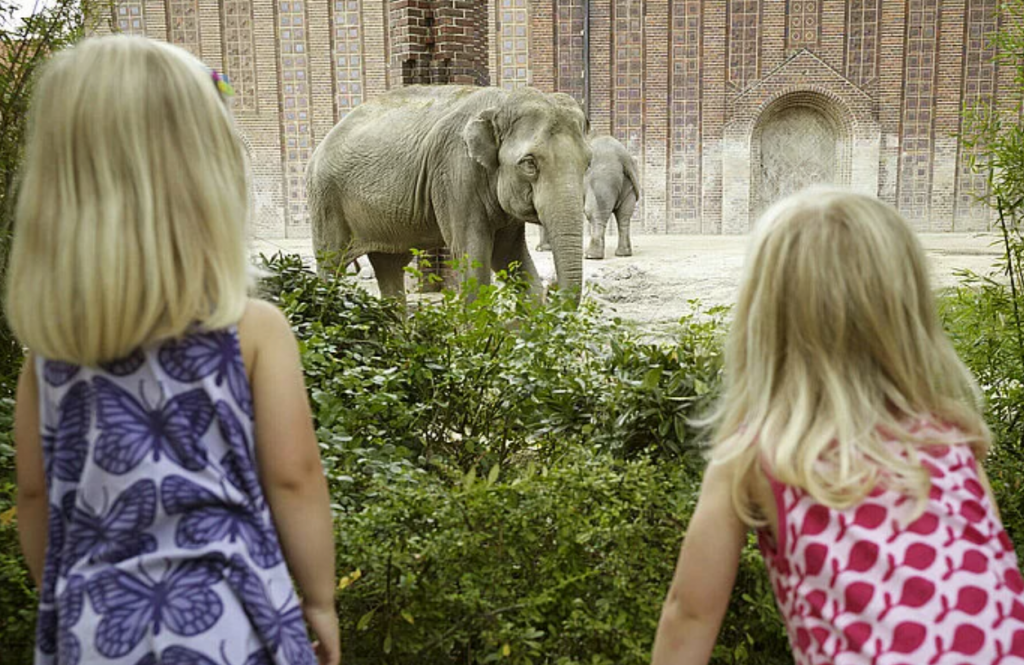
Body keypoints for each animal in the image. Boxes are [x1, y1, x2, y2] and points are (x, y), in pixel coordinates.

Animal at [305, 84, 593, 299]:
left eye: (588, 163)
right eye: (529, 164)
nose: (552, 286)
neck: (502, 101)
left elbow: (509, 256)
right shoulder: (456, 173)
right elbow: (474, 259)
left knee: (390, 267)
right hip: (325, 200)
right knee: (331, 265)